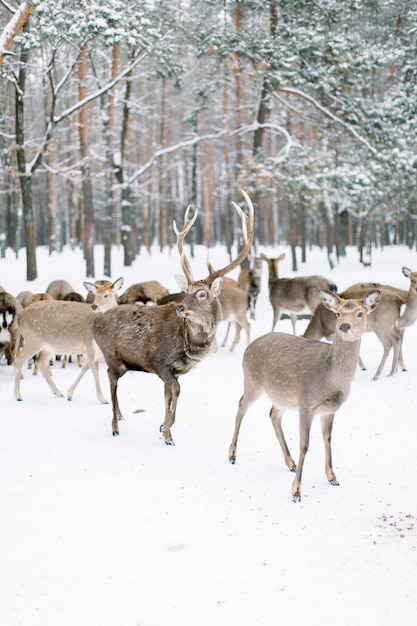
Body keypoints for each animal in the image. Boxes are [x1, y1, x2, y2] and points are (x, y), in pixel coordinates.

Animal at [91, 189, 254, 438]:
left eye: (202, 294)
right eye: (186, 291)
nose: (180, 307)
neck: (188, 345)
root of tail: (94, 322)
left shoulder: (175, 371)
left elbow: (168, 395)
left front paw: (163, 427)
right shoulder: (158, 362)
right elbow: (176, 390)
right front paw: (167, 431)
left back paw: (120, 415)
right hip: (112, 355)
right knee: (111, 378)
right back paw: (115, 426)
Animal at [228, 288, 380, 502]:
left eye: (360, 313)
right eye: (338, 313)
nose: (344, 326)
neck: (331, 379)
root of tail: (249, 347)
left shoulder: (329, 410)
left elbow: (328, 439)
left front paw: (333, 477)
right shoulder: (306, 403)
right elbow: (304, 444)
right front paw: (296, 492)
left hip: (281, 395)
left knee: (273, 414)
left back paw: (290, 463)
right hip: (252, 380)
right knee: (241, 405)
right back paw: (232, 455)